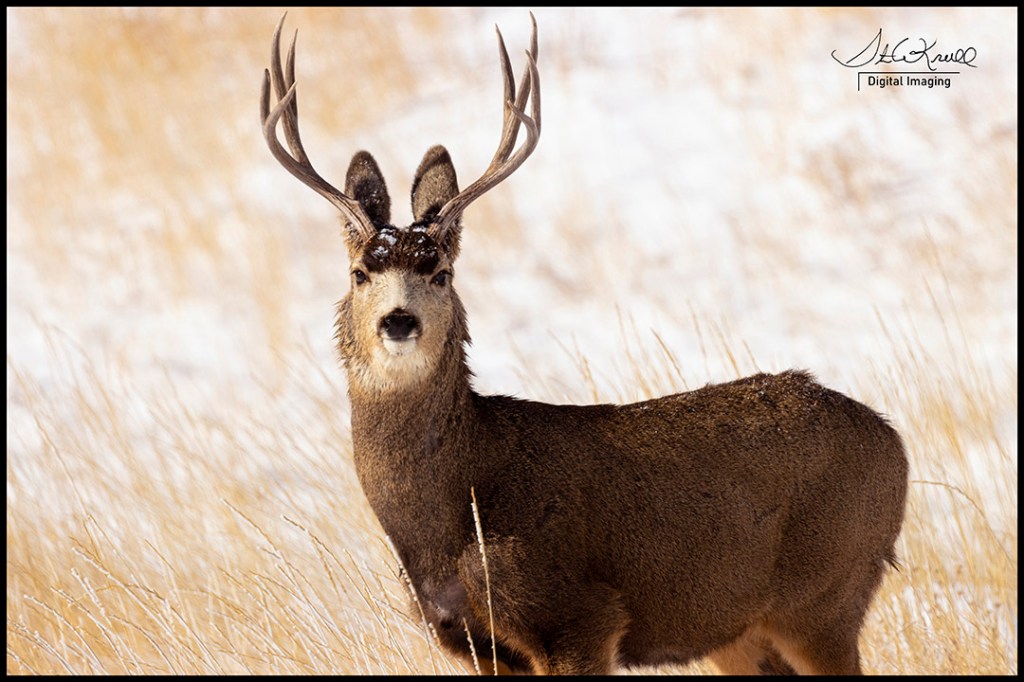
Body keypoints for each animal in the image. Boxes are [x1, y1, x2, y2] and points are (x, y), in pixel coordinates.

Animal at [260, 12, 908, 676]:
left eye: (440, 271)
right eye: (359, 273)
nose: (398, 321)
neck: (454, 513)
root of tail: (895, 442)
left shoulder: (579, 616)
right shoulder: (476, 643)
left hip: (825, 593)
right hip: (741, 629)